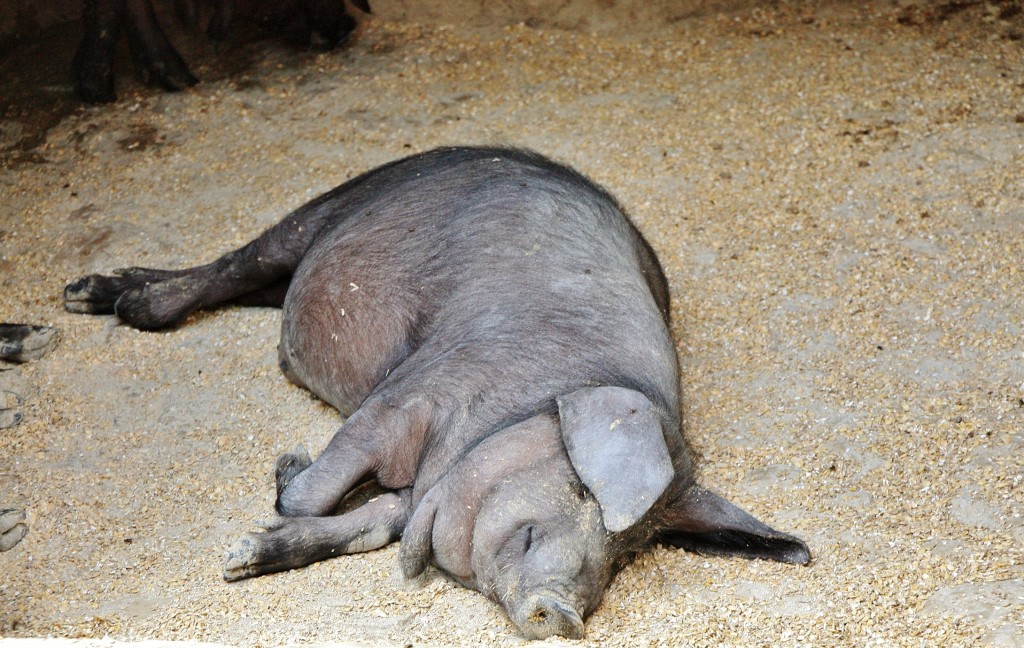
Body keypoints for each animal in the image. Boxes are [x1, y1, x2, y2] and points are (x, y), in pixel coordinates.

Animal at [66, 146, 815, 638]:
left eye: (632, 551)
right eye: (583, 492)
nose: (565, 611)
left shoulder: (412, 485)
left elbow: (364, 526)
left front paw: (245, 554)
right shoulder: (403, 399)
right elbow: (316, 489)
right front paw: (282, 475)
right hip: (340, 200)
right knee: (235, 262)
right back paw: (102, 298)